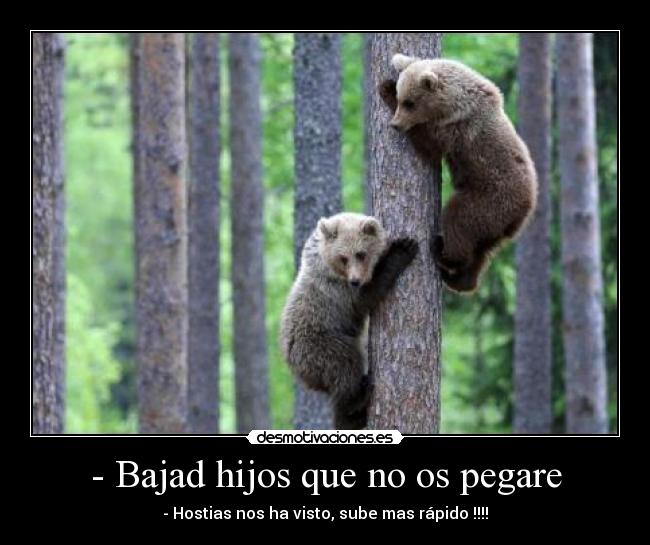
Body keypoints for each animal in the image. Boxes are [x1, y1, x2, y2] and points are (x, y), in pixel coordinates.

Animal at [280, 212, 418, 429]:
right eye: (343, 257)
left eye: (360, 253)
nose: (355, 280)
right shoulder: (338, 291)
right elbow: (367, 296)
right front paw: (403, 248)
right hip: (320, 344)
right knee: (345, 365)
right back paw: (358, 397)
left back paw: (353, 417)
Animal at [379, 54, 537, 293]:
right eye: (402, 99)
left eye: (409, 103)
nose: (395, 124)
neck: (454, 103)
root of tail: (523, 212)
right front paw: (394, 68)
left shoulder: (457, 131)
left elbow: (430, 147)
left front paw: (385, 88)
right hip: (494, 224)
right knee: (481, 251)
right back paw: (460, 279)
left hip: (488, 200)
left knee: (458, 222)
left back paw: (442, 251)